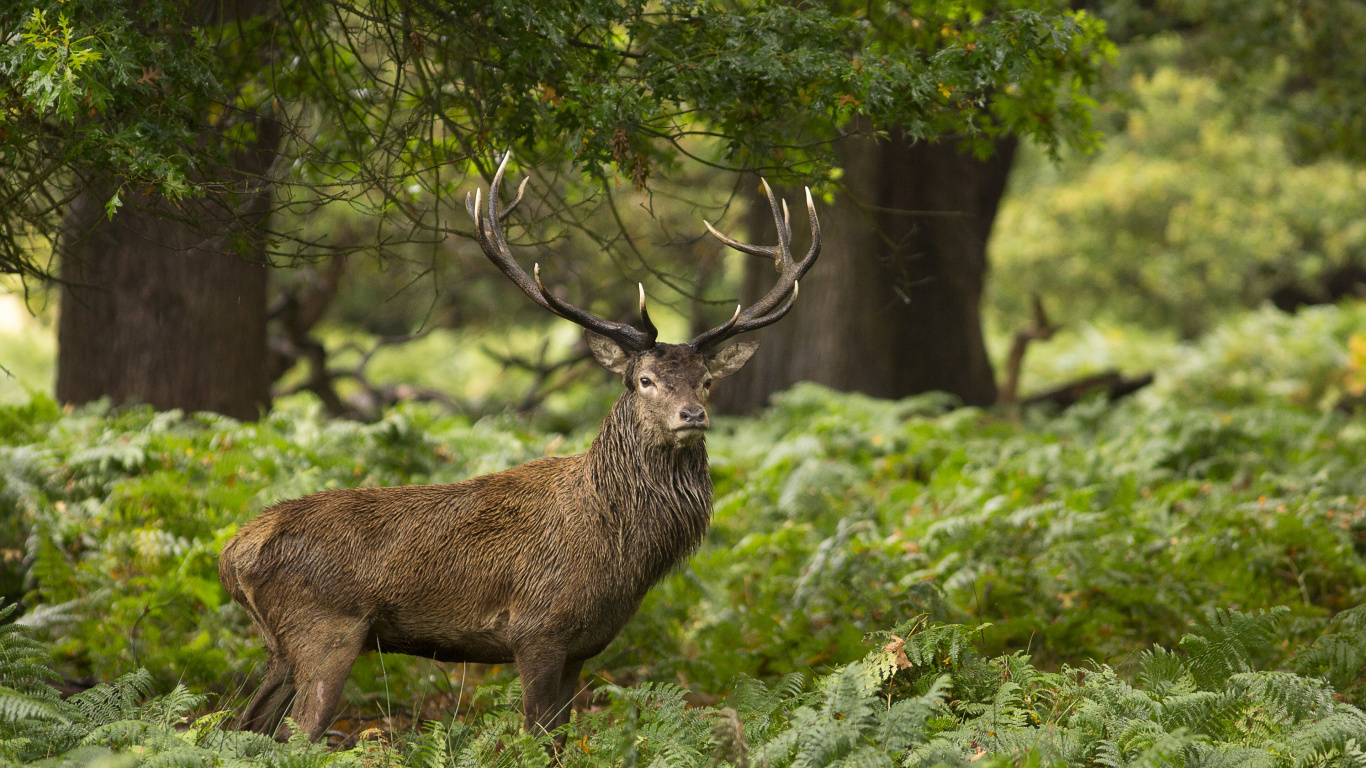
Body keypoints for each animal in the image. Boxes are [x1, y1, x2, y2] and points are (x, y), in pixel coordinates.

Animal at [217, 152, 821, 742]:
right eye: (644, 380)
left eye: (707, 380)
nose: (693, 415)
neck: (622, 552)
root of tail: (232, 553)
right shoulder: (536, 630)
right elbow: (535, 735)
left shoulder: (583, 647)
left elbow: (562, 740)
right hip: (327, 630)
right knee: (298, 734)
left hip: (282, 646)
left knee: (244, 727)